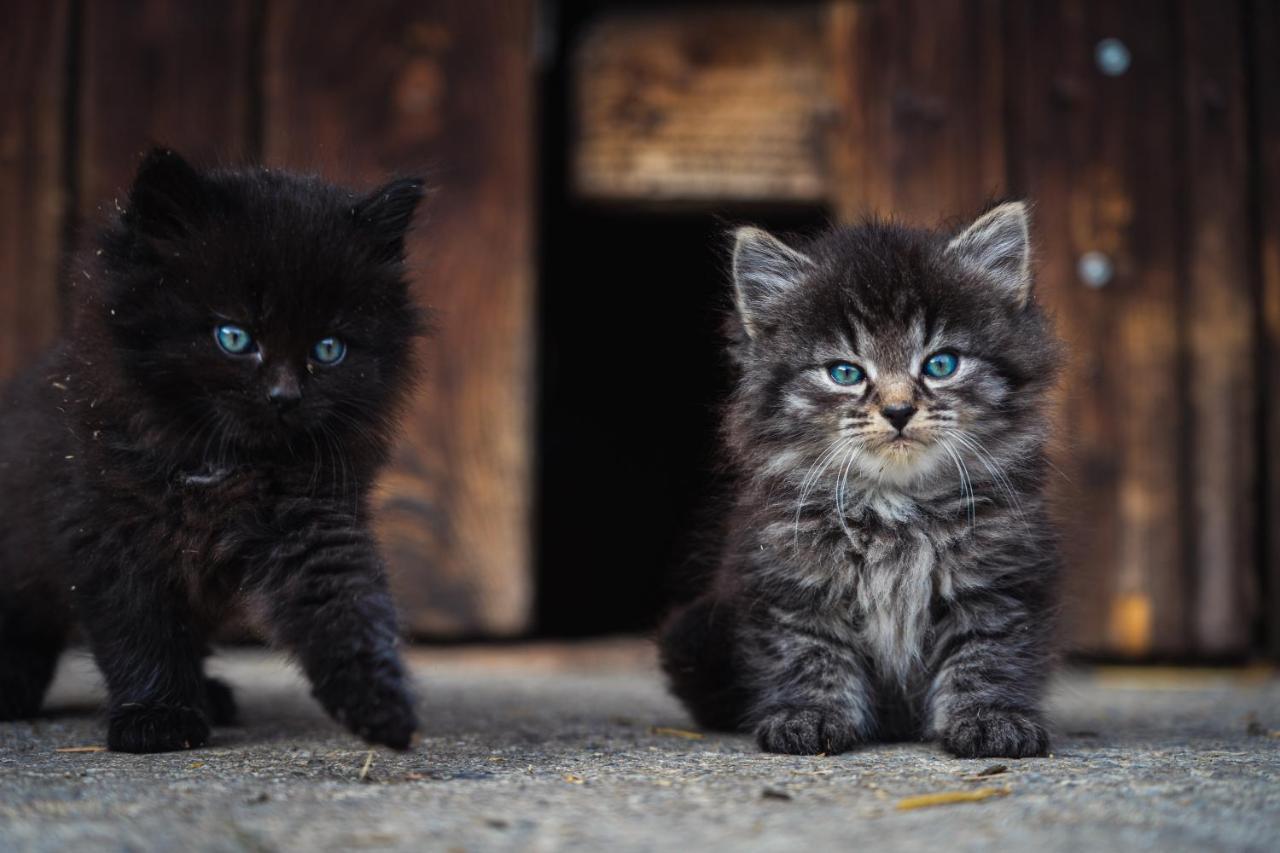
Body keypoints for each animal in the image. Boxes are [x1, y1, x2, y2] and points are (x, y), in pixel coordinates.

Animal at [0, 149, 430, 747]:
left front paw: (379, 702)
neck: (219, 465)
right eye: (234, 337)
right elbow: (141, 634)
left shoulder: (313, 519)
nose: (284, 397)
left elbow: (345, 603)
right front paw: (156, 718)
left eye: (329, 349)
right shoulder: (107, 531)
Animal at [660, 202, 1059, 753]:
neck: (896, 506)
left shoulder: (999, 578)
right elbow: (810, 652)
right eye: (845, 373)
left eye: (941, 364)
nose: (898, 410)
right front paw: (811, 716)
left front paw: (989, 719)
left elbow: (987, 653)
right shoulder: (791, 579)